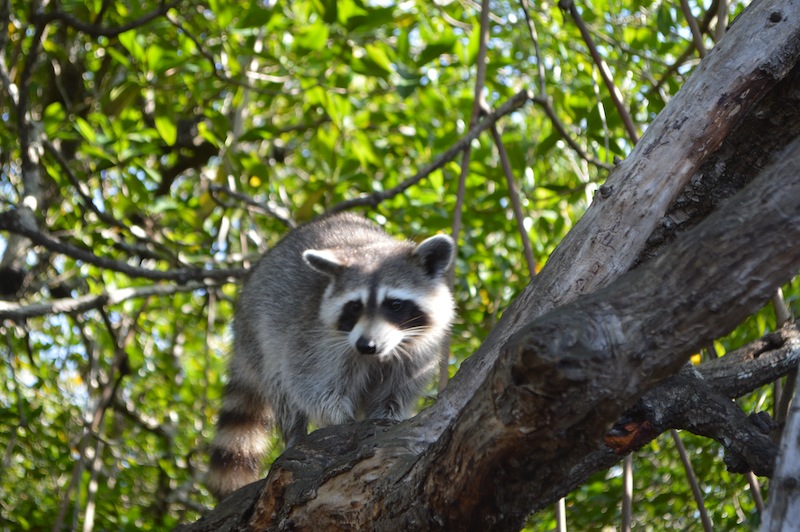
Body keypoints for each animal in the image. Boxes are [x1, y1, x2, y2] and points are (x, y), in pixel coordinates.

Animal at [208, 213, 456, 498]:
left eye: (394, 304)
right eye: (355, 306)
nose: (366, 345)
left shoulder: (417, 349)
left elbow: (397, 390)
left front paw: (388, 415)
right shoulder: (313, 339)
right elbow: (311, 386)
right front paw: (342, 420)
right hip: (259, 334)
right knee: (282, 388)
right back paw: (295, 434)